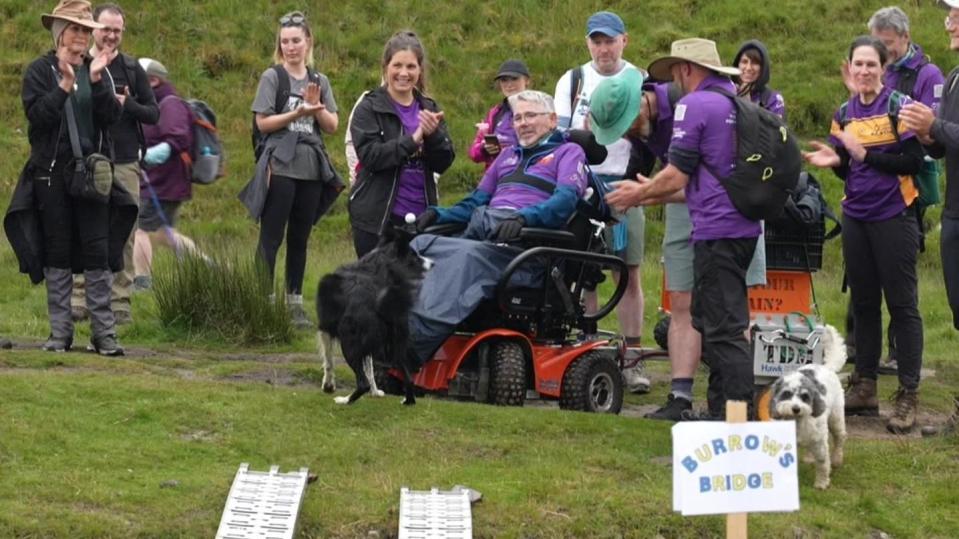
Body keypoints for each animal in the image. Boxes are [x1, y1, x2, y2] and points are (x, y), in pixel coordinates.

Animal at [316, 226, 434, 408]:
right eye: (415, 256)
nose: (433, 263)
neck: (377, 264)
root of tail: (381, 302)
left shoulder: (325, 326)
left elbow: (328, 360)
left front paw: (328, 385)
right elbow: (370, 367)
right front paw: (375, 391)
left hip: (349, 342)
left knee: (361, 383)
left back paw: (345, 400)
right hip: (395, 345)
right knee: (408, 377)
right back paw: (407, 401)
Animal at [768, 324, 852, 490]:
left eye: (805, 397)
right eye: (786, 394)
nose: (796, 408)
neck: (797, 422)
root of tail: (827, 367)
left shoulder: (820, 443)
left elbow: (822, 464)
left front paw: (821, 483)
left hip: (836, 418)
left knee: (840, 438)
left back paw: (837, 459)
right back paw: (808, 457)